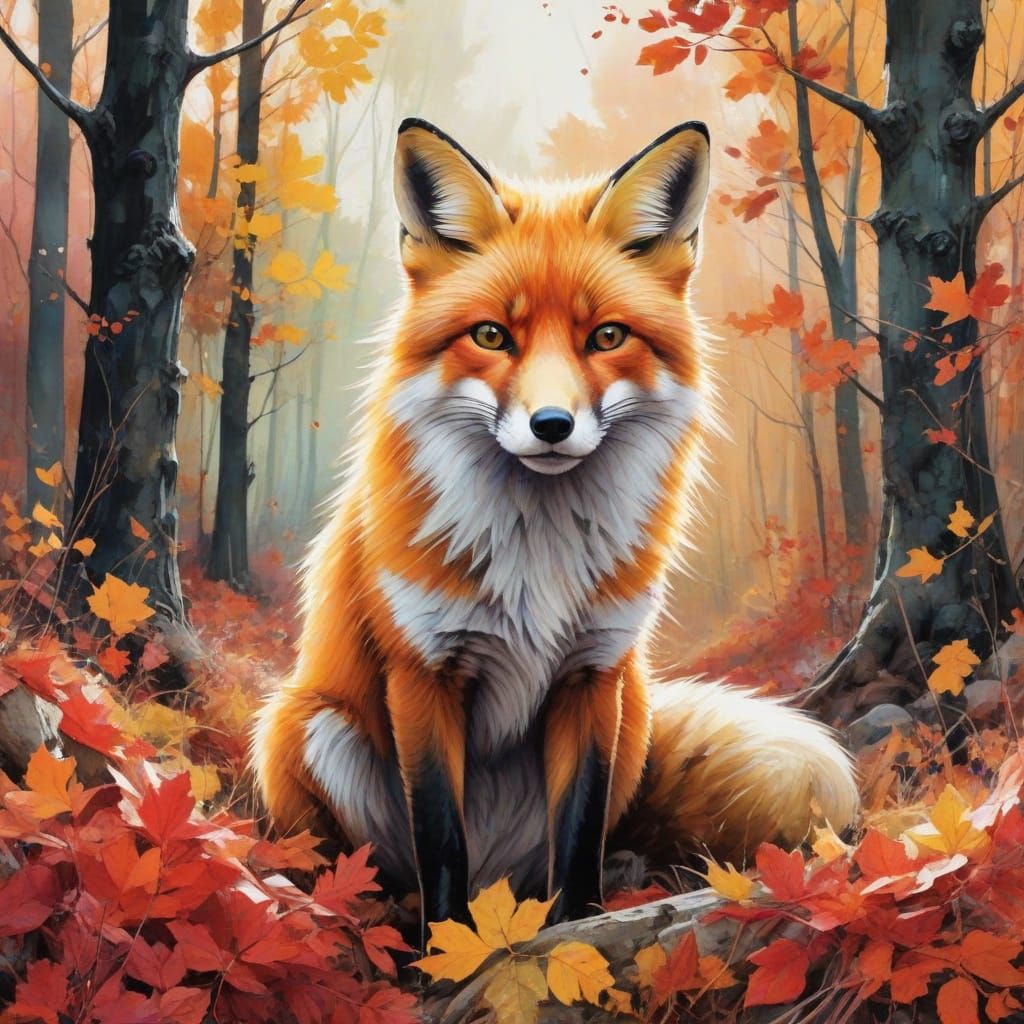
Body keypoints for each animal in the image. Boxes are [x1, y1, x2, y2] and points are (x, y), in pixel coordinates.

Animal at [252, 118, 859, 928]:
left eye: (605, 337)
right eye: (490, 336)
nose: (550, 425)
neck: (535, 554)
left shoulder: (592, 673)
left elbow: (578, 831)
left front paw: (577, 931)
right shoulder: (423, 673)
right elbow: (439, 836)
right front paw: (450, 943)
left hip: (633, 721)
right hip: (308, 725)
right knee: (368, 860)